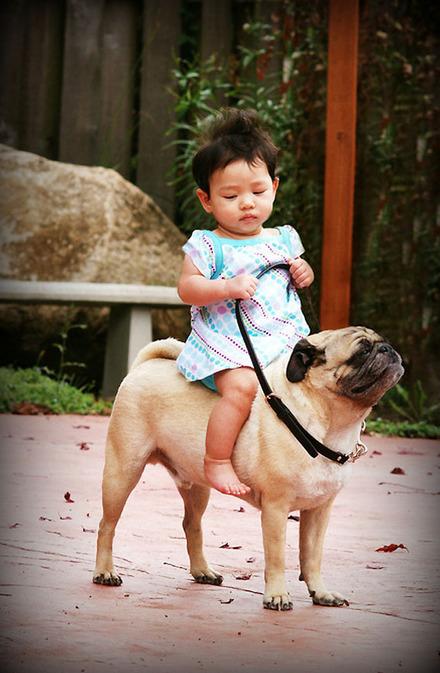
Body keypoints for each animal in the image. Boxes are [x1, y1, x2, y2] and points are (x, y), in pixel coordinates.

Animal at [94, 326, 404, 608]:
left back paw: (202, 570)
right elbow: (277, 557)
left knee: (191, 524)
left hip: (197, 486)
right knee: (107, 525)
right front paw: (277, 595)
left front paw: (321, 592)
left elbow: (312, 556)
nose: (388, 349)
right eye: (362, 351)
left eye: (384, 342)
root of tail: (145, 365)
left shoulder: (319, 511)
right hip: (123, 470)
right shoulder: (276, 509)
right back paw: (105, 572)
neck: (328, 425)